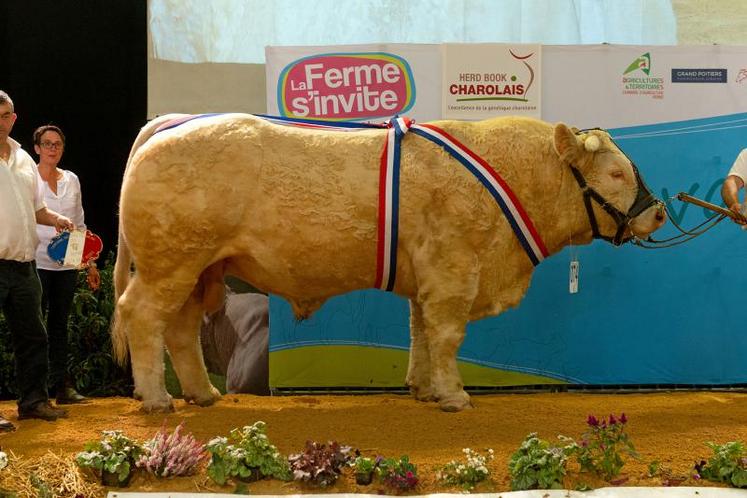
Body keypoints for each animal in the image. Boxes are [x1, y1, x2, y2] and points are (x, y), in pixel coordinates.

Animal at [112, 114, 668, 412]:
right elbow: (446, 335)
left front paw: (422, 389)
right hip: (170, 265)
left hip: (196, 269)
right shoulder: (453, 272)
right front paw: (454, 396)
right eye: (616, 173)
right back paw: (157, 399)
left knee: (180, 328)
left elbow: (420, 330)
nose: (660, 211)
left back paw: (202, 393)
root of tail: (172, 123)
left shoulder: (427, 278)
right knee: (142, 317)